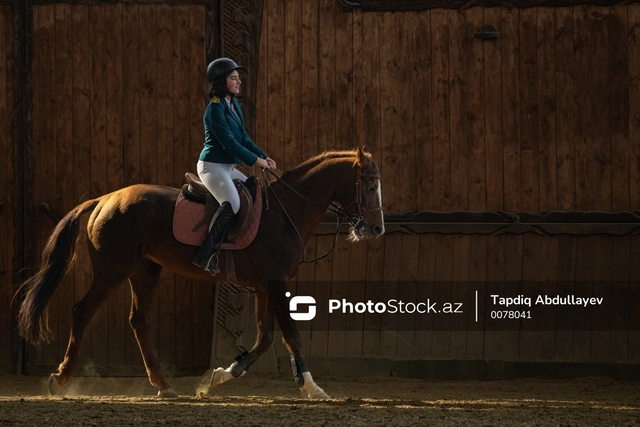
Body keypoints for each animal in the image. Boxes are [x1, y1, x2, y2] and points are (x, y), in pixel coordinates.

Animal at [16, 146, 384, 398]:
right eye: (368, 187)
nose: (377, 229)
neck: (284, 213)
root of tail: (103, 199)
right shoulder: (275, 283)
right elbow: (290, 334)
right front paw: (311, 386)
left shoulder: (265, 287)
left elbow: (264, 338)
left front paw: (219, 376)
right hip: (112, 271)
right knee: (82, 311)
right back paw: (60, 378)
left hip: (145, 271)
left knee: (139, 320)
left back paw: (164, 385)